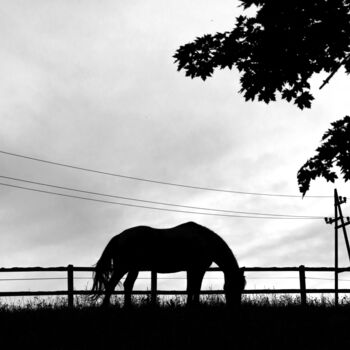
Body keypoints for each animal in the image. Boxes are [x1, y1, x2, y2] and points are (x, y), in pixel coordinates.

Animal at [93, 221, 246, 306]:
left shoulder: (191, 270)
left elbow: (191, 288)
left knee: (127, 285)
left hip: (133, 269)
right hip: (123, 267)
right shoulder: (198, 269)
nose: (235, 306)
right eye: (235, 286)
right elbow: (195, 289)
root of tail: (118, 237)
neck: (205, 241)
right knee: (112, 285)